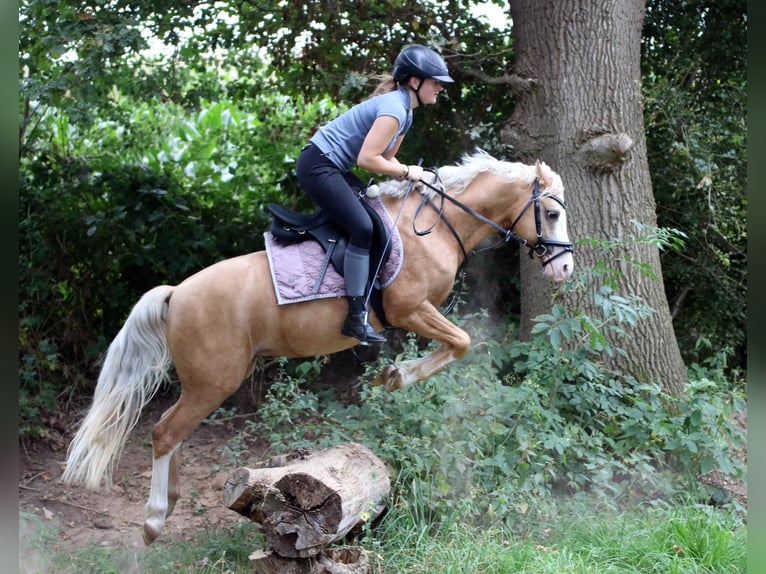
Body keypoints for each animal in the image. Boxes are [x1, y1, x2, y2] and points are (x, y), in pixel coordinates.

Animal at [61, 151, 574, 545]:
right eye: (551, 214)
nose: (565, 268)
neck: (435, 225)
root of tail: (176, 293)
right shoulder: (410, 308)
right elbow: (463, 341)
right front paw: (399, 375)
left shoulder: (417, 313)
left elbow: (458, 344)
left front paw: (394, 374)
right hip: (214, 381)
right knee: (165, 431)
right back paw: (153, 520)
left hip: (204, 384)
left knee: (173, 431)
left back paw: (170, 501)